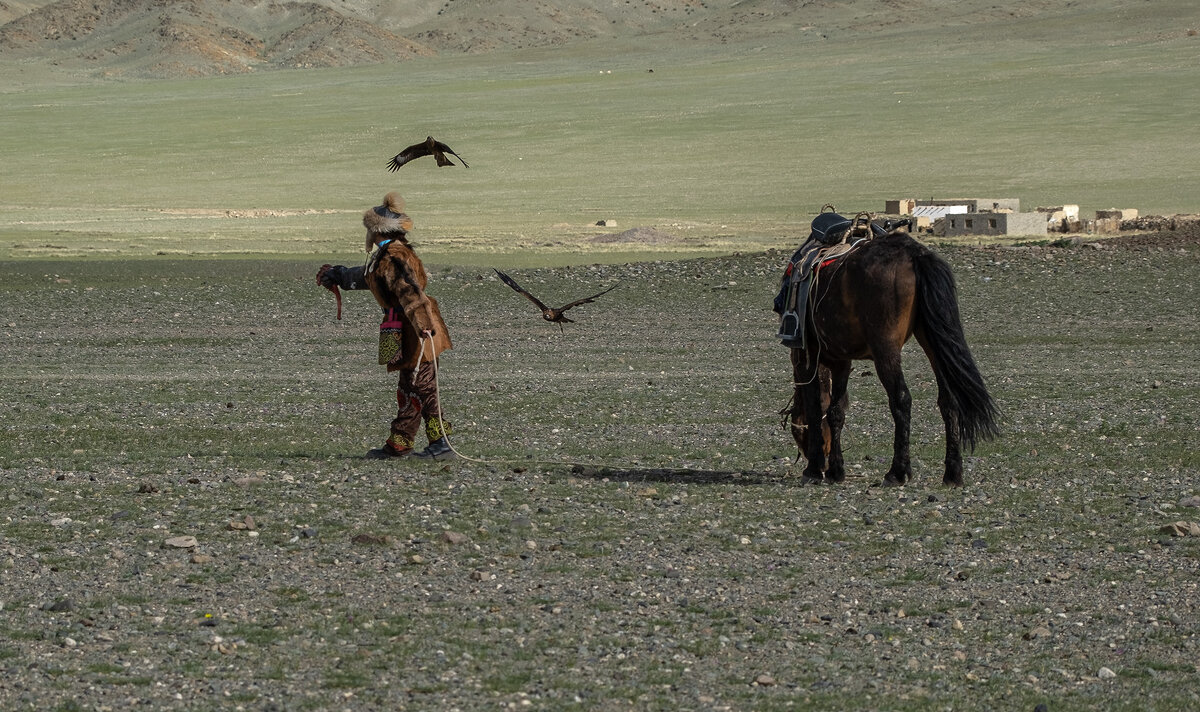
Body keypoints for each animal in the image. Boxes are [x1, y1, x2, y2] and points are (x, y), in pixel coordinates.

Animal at [787, 230, 1003, 485]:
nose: (812, 453)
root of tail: (915, 255)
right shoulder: (842, 361)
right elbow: (835, 411)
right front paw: (835, 470)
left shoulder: (805, 356)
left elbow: (815, 407)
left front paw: (814, 468)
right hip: (931, 340)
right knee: (948, 400)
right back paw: (952, 472)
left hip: (885, 349)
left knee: (901, 399)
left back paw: (897, 472)